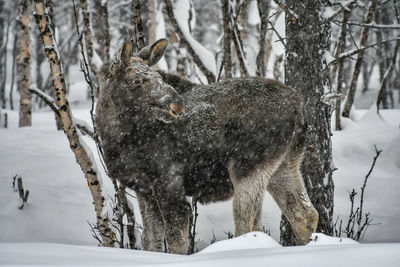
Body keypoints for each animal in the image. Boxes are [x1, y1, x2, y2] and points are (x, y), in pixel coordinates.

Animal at [95, 38, 318, 254]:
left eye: (160, 78)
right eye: (137, 80)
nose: (177, 105)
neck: (115, 136)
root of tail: (299, 108)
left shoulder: (167, 179)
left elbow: (177, 239)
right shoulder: (143, 187)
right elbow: (151, 240)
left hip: (248, 166)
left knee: (249, 223)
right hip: (285, 165)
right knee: (305, 214)